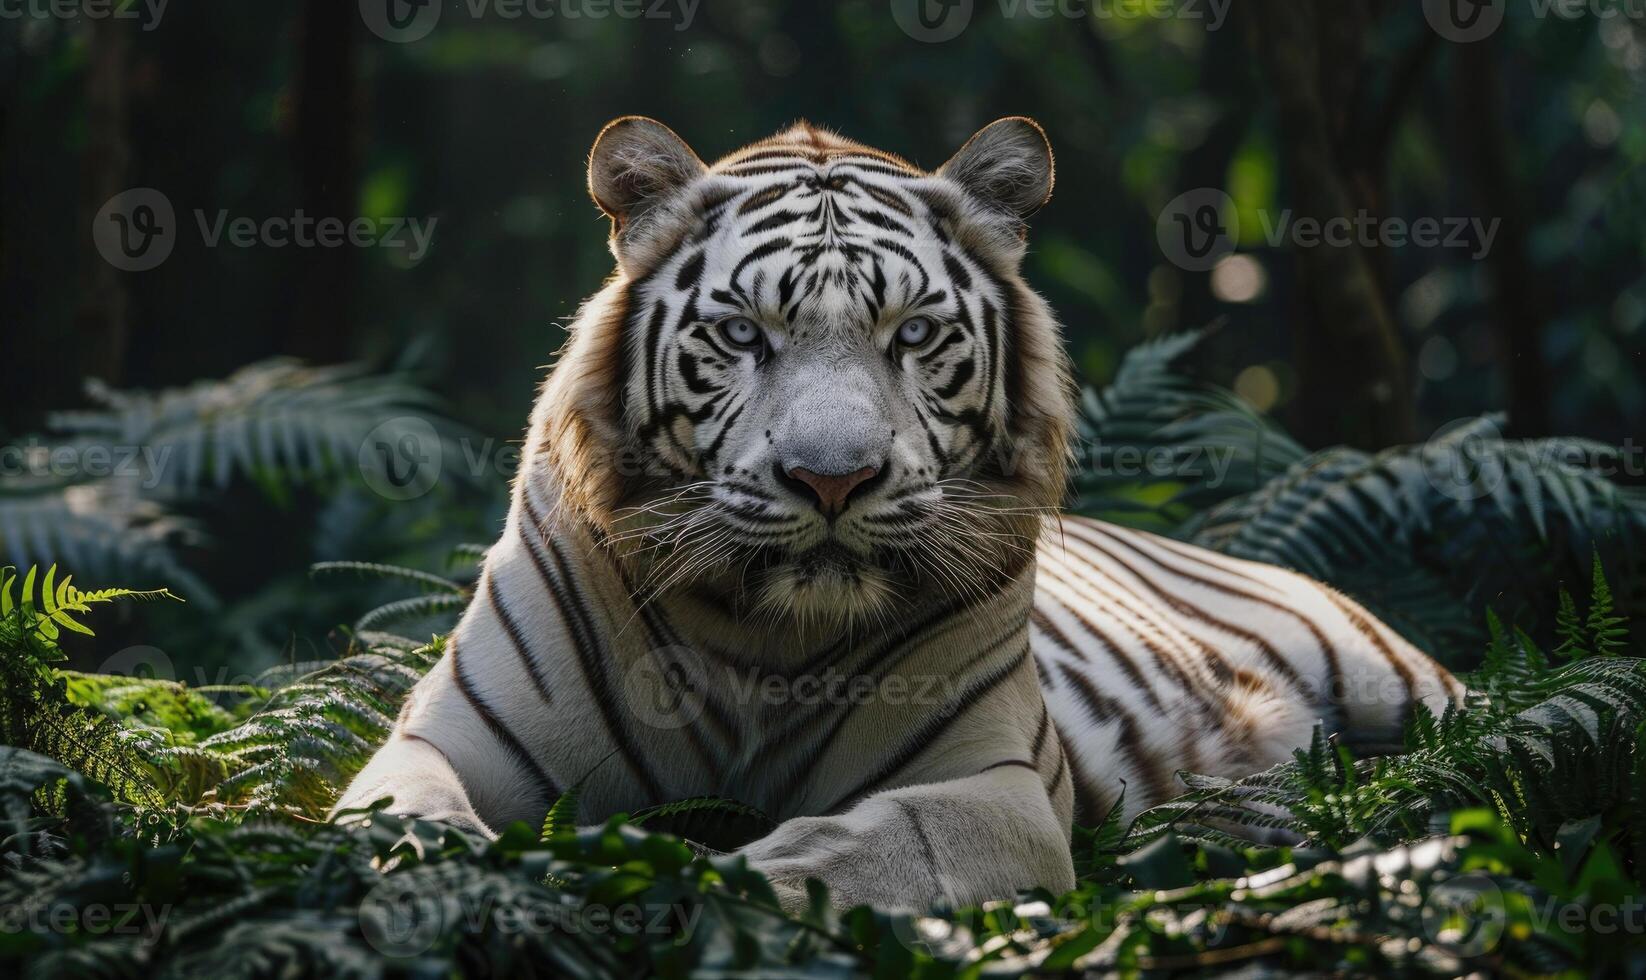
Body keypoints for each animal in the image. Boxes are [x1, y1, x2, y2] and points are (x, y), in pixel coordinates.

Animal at [337, 118, 1468, 915]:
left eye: (914, 333)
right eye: (742, 334)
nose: (831, 480)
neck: (750, 636)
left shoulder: (993, 786)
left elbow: (874, 844)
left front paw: (720, 876)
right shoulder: (453, 737)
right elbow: (397, 815)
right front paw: (455, 868)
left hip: (1403, 688)